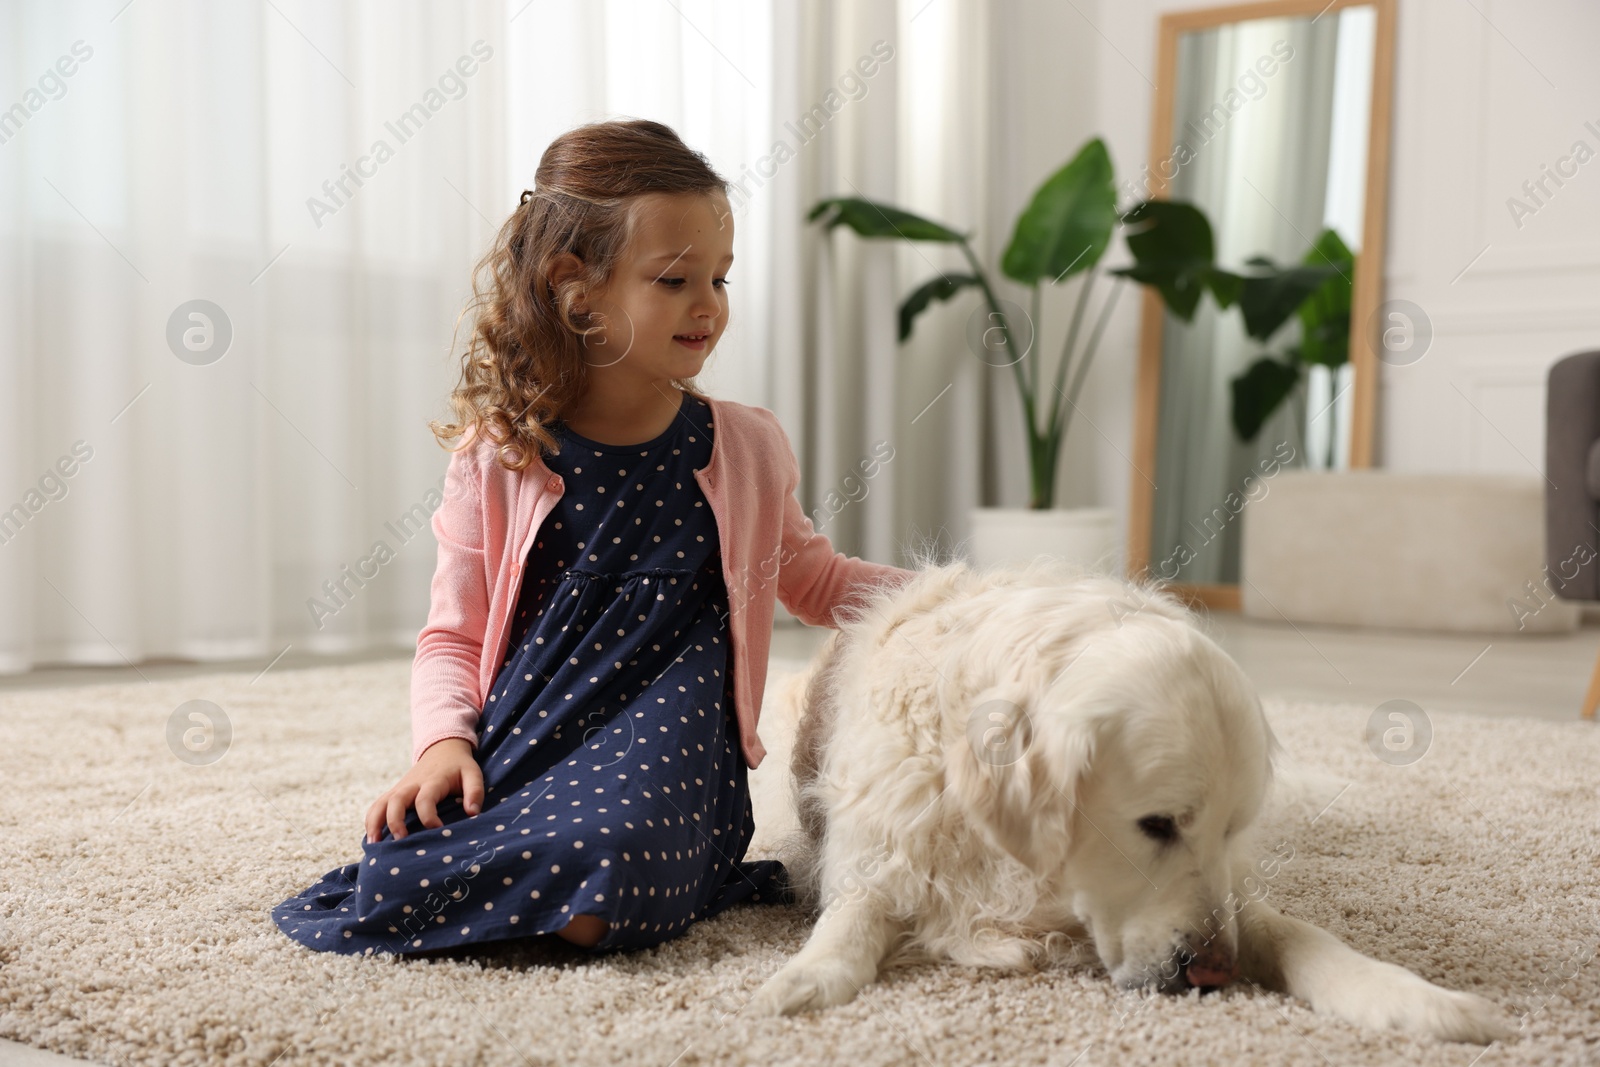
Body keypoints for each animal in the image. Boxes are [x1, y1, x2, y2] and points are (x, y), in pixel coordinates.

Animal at [742, 559, 1504, 1043]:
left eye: (1232, 829)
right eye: (1156, 824)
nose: (1215, 972)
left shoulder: (1233, 894)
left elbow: (1299, 933)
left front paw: (1416, 998)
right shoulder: (880, 849)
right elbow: (851, 920)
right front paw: (802, 979)